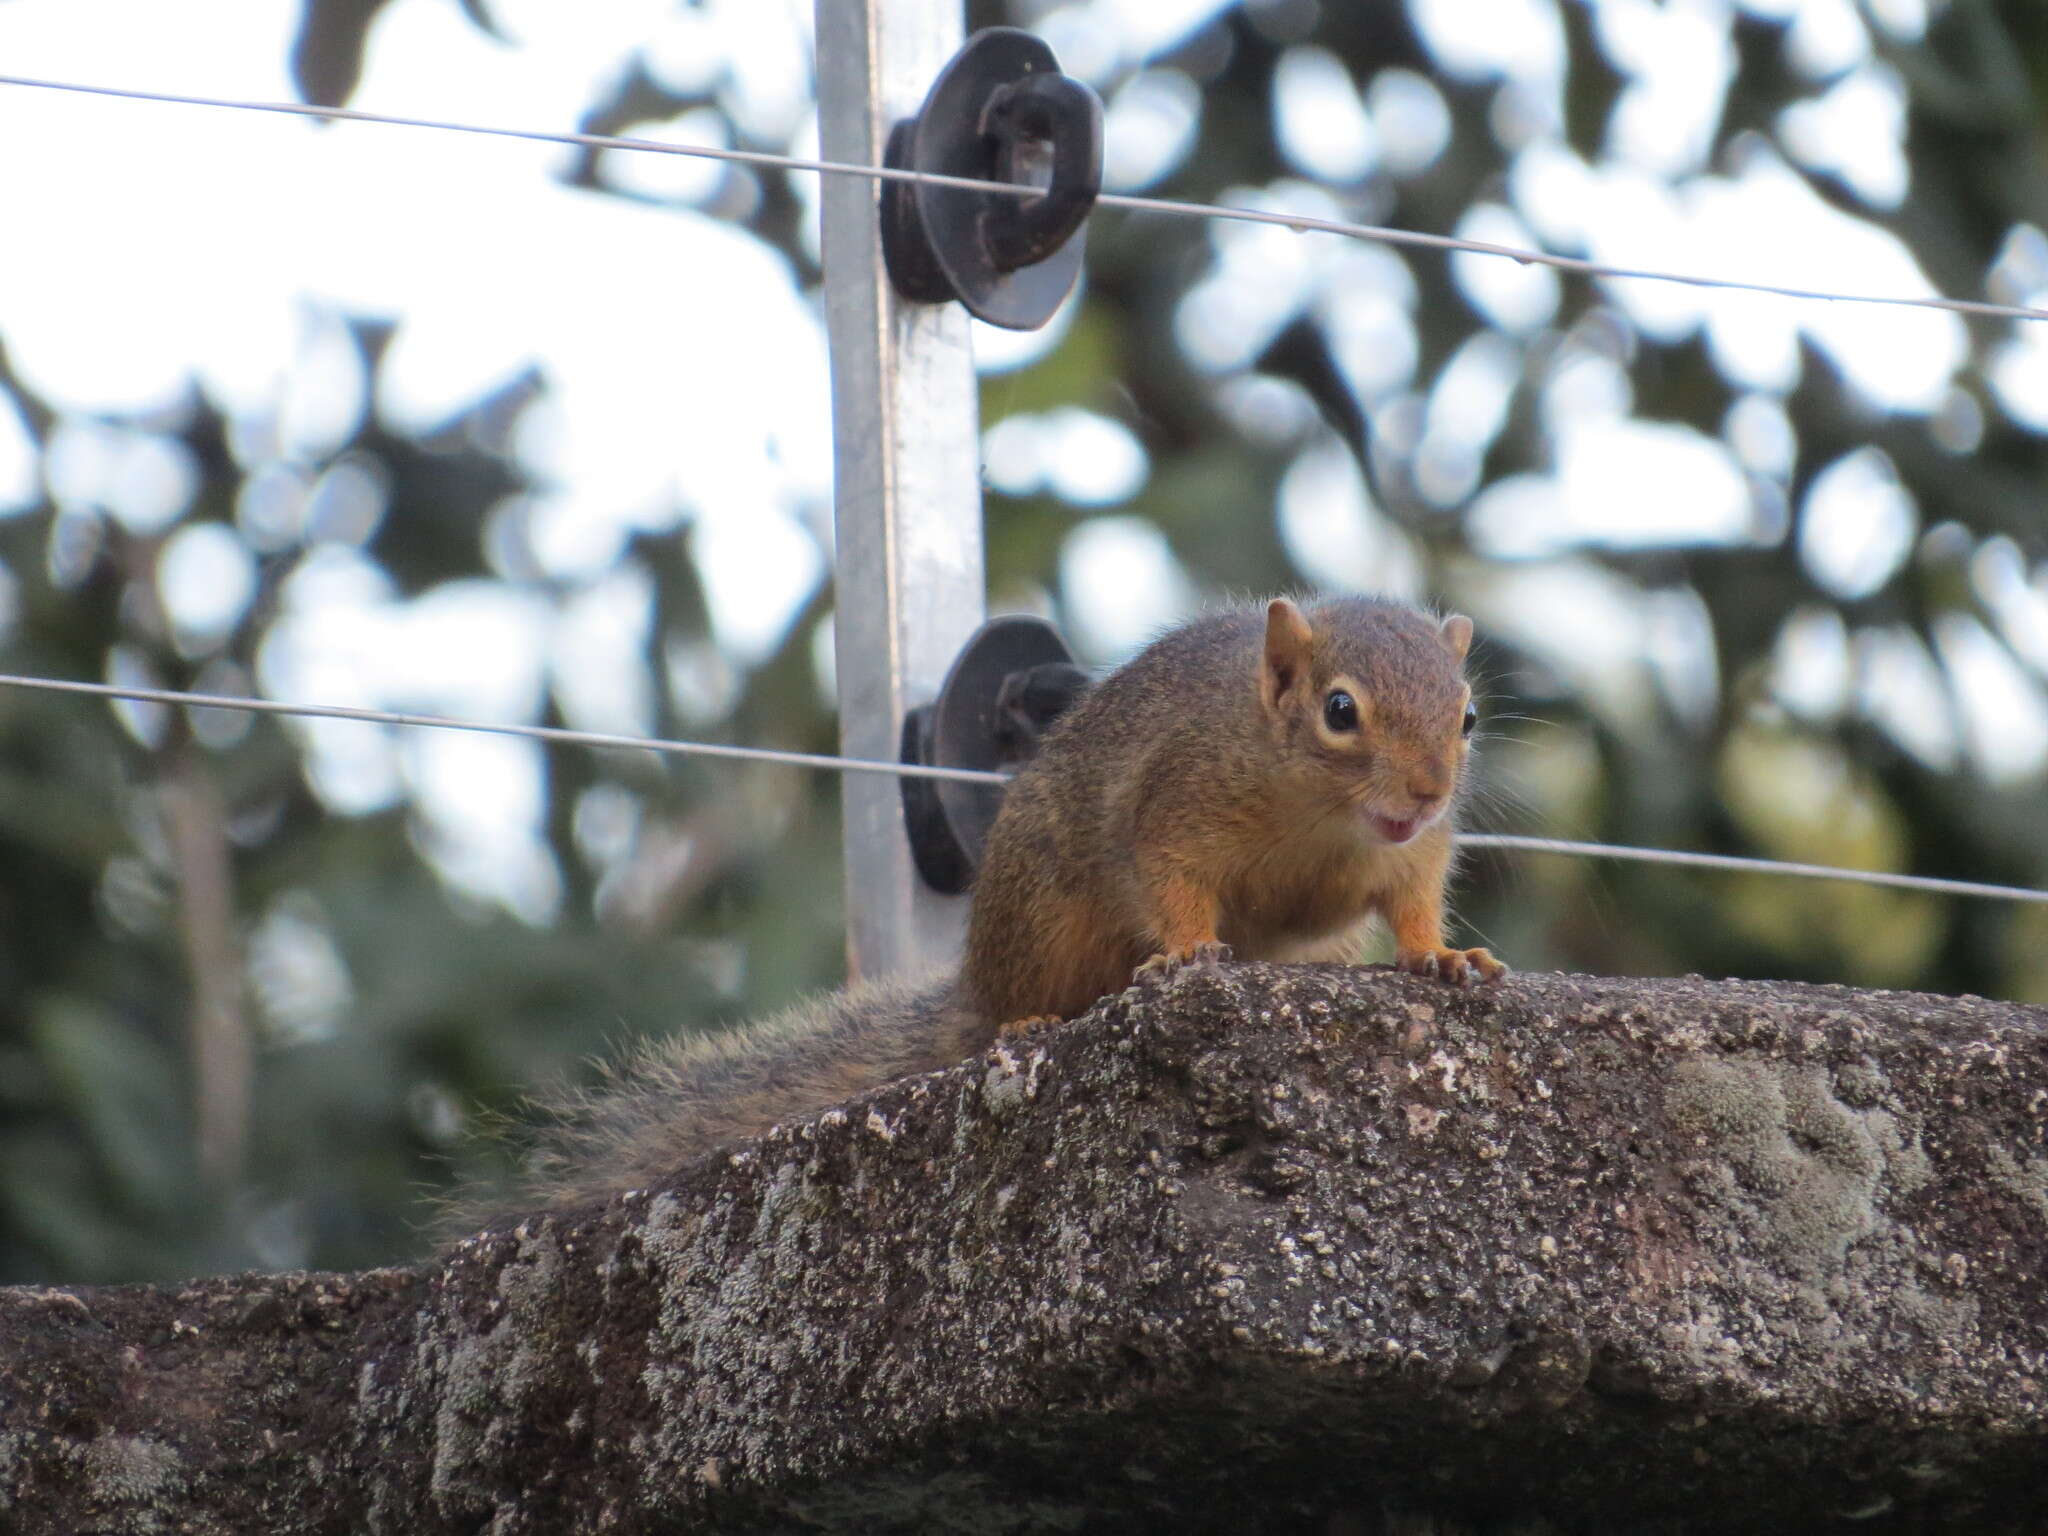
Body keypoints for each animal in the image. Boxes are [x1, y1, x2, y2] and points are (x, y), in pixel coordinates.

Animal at [479, 593, 1507, 1220]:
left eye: (1466, 717)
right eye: (1340, 711)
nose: (1427, 792)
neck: (1323, 819)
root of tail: (974, 985)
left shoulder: (1411, 859)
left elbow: (1415, 904)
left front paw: (1442, 957)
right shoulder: (1174, 806)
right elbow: (1172, 885)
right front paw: (1188, 955)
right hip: (1044, 919)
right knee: (1025, 998)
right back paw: (1030, 1022)